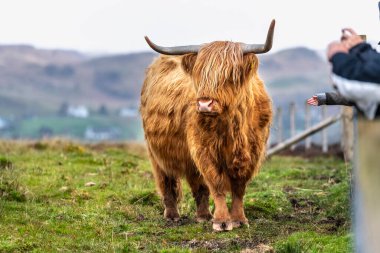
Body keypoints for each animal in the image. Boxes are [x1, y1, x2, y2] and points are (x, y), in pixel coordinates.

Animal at [141, 20, 274, 231]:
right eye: (200, 74)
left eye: (230, 74)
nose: (204, 104)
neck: (233, 127)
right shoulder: (204, 149)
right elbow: (216, 183)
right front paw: (221, 221)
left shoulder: (252, 151)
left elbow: (239, 187)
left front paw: (239, 219)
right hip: (156, 153)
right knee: (167, 182)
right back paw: (173, 215)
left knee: (198, 186)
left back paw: (203, 215)